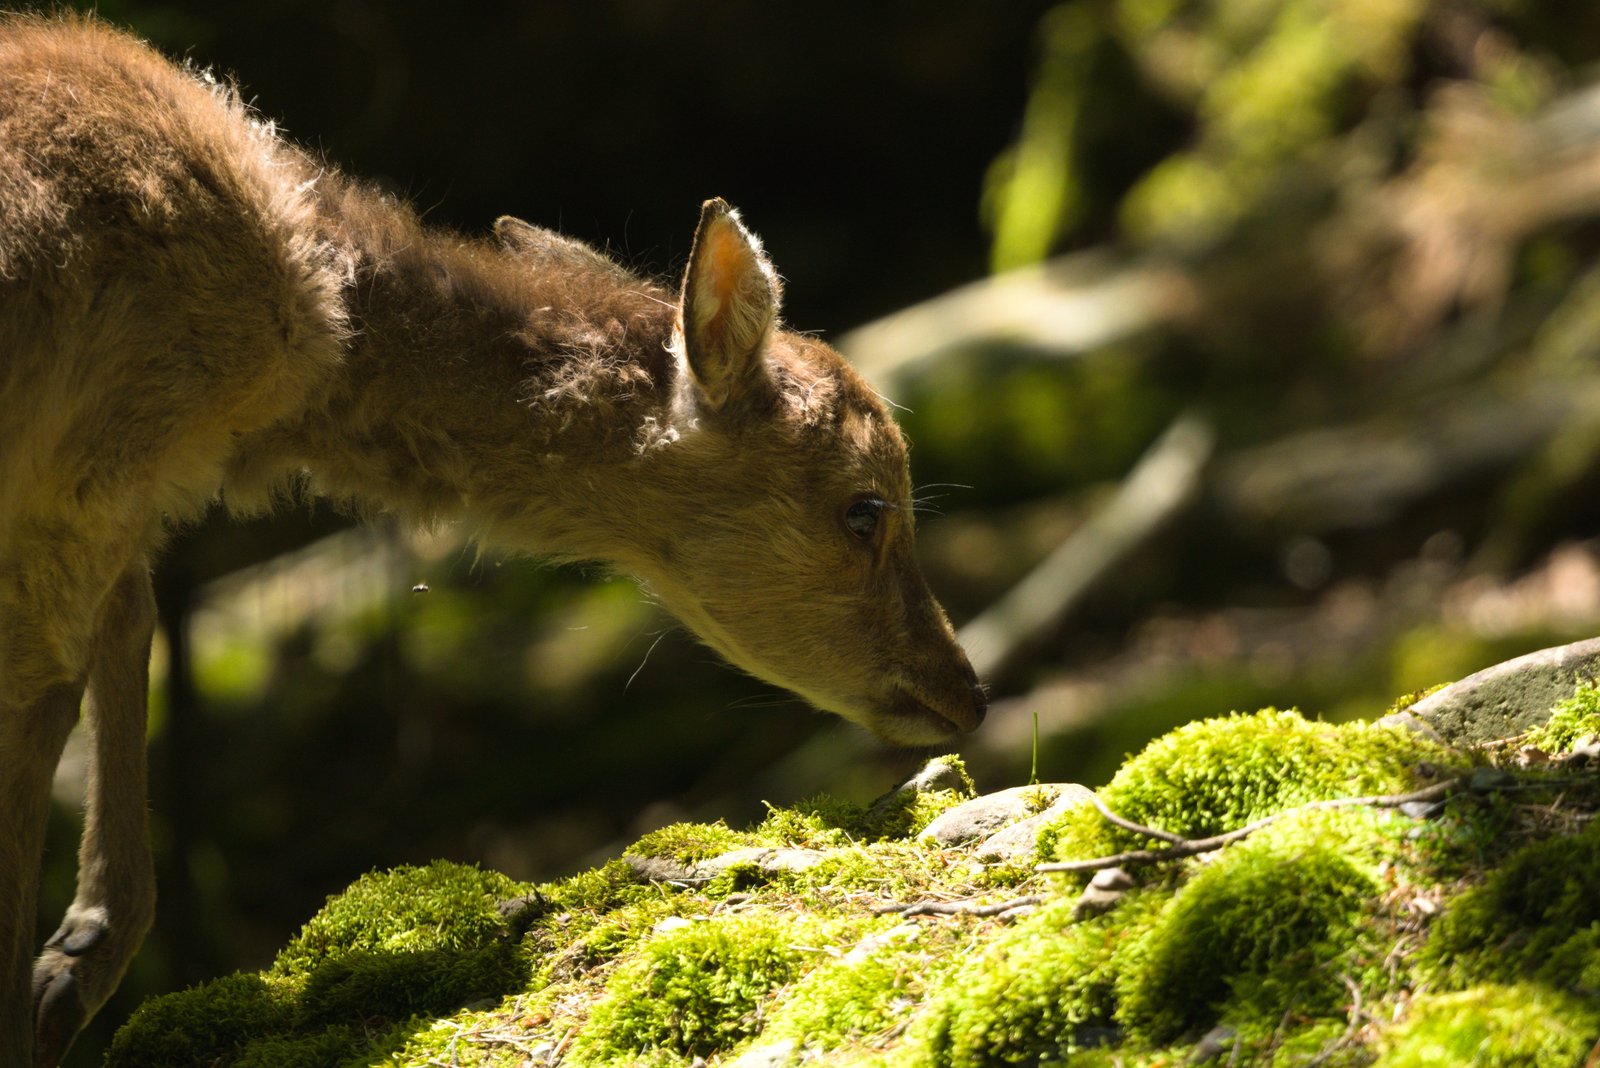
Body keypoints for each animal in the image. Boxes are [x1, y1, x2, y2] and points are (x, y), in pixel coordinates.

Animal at [0, 12, 986, 1066]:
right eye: (865, 507)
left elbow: (123, 618)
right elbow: (58, 673)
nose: (966, 691)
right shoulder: (94, 459)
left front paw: (70, 963)